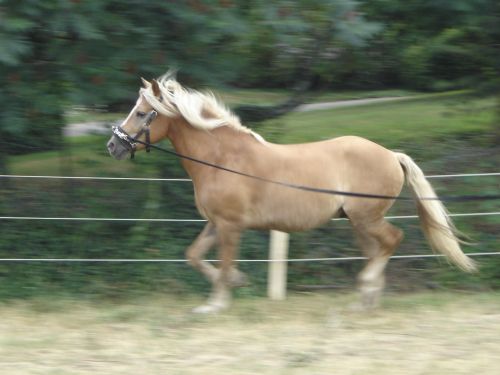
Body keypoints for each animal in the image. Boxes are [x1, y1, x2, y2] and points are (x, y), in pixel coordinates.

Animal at [106, 73, 476, 314]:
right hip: (358, 222)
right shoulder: (215, 223)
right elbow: (195, 255)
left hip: (366, 218)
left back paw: (367, 289)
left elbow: (224, 263)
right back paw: (366, 299)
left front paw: (218, 302)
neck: (222, 159)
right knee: (377, 250)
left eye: (142, 113)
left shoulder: (230, 226)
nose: (113, 145)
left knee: (391, 241)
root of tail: (390, 154)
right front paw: (233, 285)